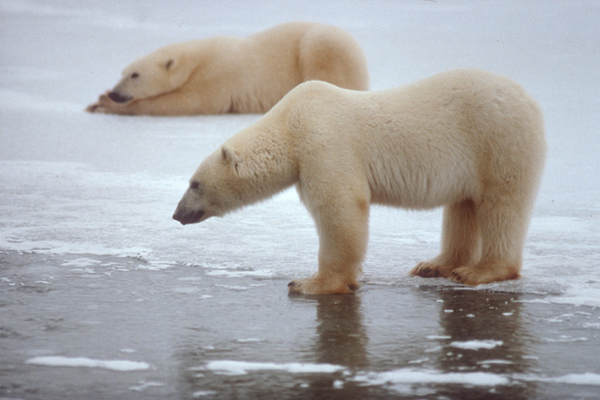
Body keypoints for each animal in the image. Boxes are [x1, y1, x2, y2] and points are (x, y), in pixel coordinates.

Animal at [84, 21, 366, 115]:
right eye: (122, 72)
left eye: (135, 74)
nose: (114, 93)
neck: (194, 60)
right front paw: (96, 101)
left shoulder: (217, 75)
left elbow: (184, 103)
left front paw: (105, 104)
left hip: (323, 46)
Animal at [171, 69, 548, 294]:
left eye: (194, 184)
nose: (176, 214)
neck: (289, 122)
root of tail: (530, 100)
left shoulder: (324, 143)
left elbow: (339, 207)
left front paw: (310, 283)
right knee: (463, 206)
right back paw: (436, 265)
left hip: (498, 141)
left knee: (502, 205)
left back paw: (479, 271)